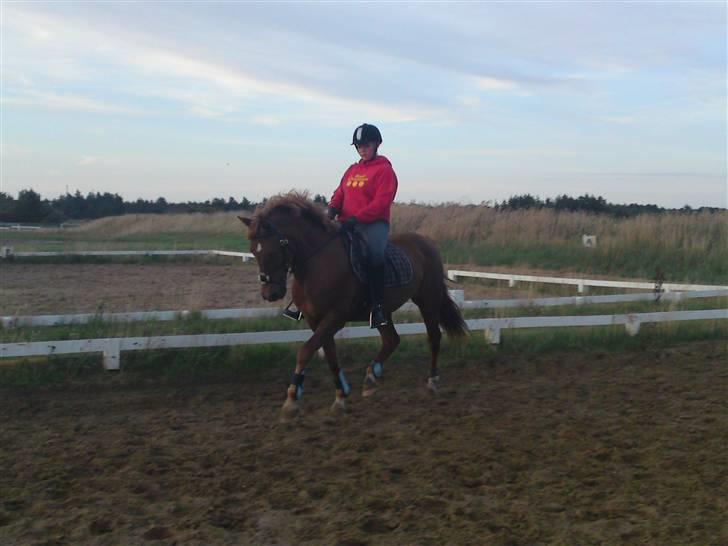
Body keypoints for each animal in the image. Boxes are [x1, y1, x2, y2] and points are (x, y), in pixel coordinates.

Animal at [239, 190, 466, 416]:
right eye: (253, 251)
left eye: (273, 250)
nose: (270, 293)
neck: (317, 264)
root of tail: (427, 242)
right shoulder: (315, 319)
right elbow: (329, 355)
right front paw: (341, 395)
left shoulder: (335, 317)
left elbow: (305, 351)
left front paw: (293, 398)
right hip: (382, 312)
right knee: (392, 340)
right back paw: (371, 378)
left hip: (428, 300)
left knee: (433, 337)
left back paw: (432, 382)